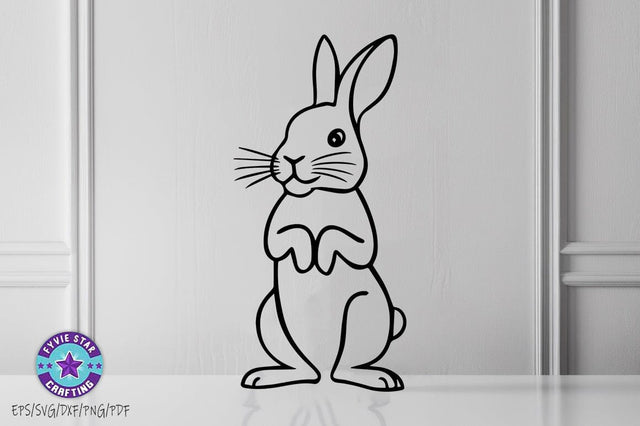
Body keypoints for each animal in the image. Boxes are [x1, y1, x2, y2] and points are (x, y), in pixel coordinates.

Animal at [237, 34, 405, 391]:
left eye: (336, 138)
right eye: (289, 128)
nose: (291, 159)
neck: (316, 194)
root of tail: (324, 368)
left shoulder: (362, 235)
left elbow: (346, 241)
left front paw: (321, 258)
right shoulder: (276, 228)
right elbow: (286, 237)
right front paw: (306, 256)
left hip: (362, 312)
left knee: (345, 367)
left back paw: (377, 378)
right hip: (272, 316)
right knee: (304, 368)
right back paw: (266, 377)